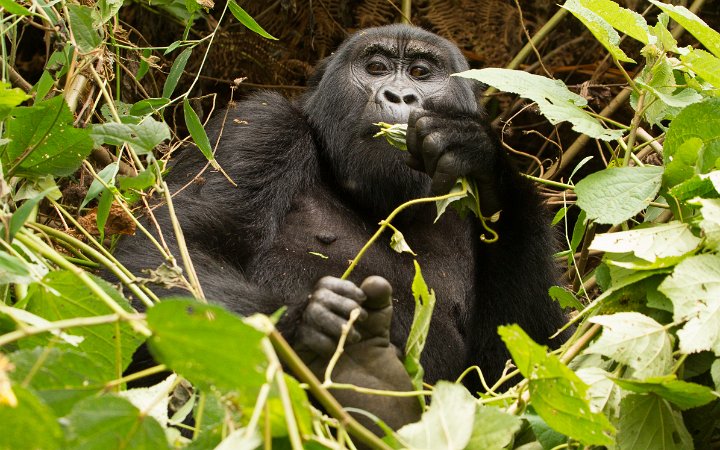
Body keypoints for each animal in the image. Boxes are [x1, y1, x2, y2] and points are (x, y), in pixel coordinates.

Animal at [115, 24, 568, 432]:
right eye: (376, 67)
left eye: (421, 72)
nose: (399, 96)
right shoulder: (259, 125)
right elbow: (172, 256)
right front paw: (308, 325)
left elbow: (517, 366)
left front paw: (483, 159)